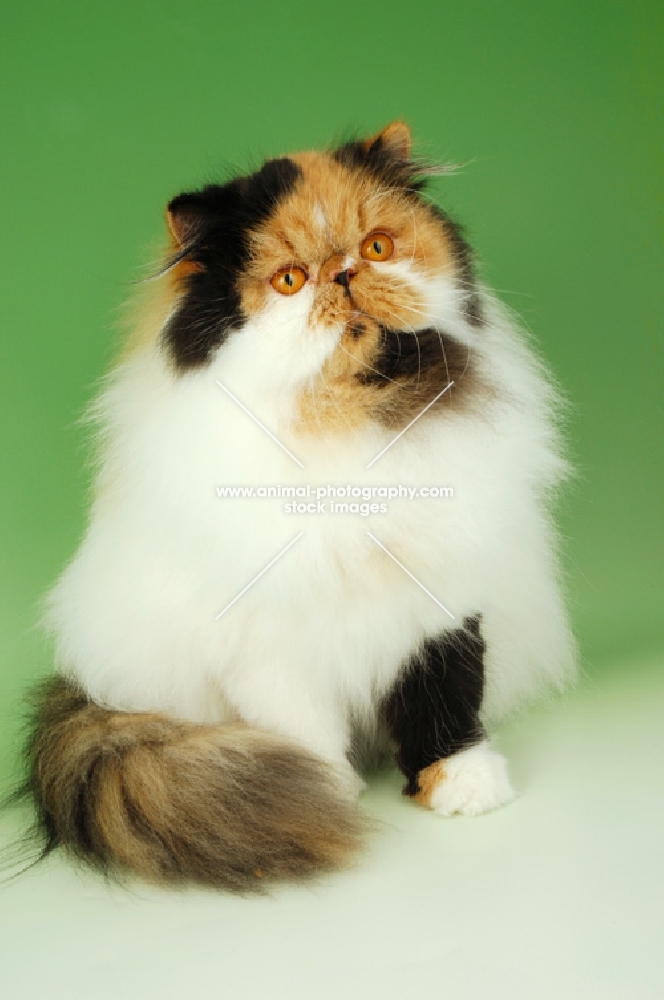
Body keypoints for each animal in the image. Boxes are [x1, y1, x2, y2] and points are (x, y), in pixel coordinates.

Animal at [23, 121, 576, 888]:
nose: (342, 274)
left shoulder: (440, 602)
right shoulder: (268, 642)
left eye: (377, 248)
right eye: (290, 280)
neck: (351, 425)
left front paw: (462, 784)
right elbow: (304, 726)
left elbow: (446, 701)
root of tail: (90, 684)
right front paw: (321, 790)